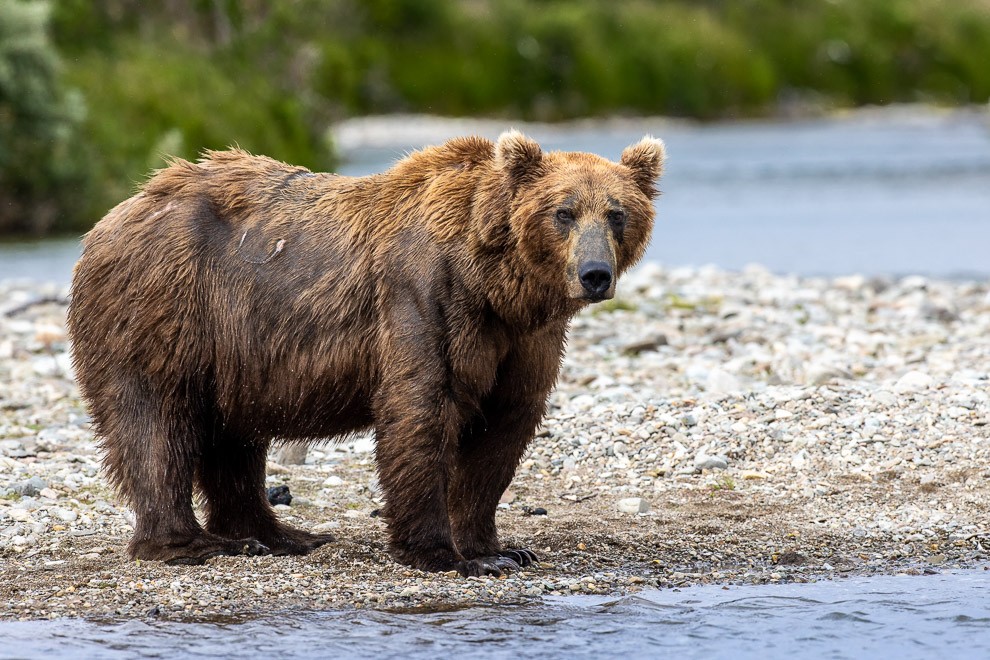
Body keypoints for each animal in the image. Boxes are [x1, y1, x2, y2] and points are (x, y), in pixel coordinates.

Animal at [68, 131, 668, 576]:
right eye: (564, 212)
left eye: (616, 213)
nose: (595, 274)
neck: (497, 282)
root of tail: (111, 218)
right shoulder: (424, 295)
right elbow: (421, 409)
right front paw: (442, 553)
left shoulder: (524, 338)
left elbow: (504, 426)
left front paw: (499, 548)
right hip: (166, 305)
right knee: (156, 422)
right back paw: (190, 543)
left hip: (236, 348)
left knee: (233, 436)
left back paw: (278, 534)